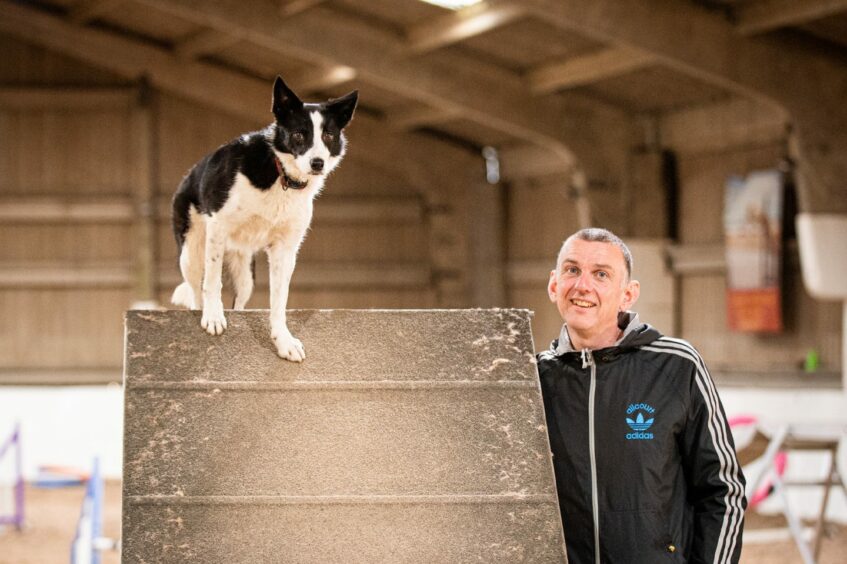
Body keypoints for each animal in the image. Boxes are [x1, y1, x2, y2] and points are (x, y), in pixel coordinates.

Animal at [172, 76, 358, 362]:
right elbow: (213, 281)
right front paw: (213, 317)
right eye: (299, 134)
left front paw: (284, 341)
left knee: (239, 301)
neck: (281, 175)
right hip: (191, 252)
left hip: (246, 275)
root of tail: (188, 176)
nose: (318, 163)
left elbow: (279, 300)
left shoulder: (285, 249)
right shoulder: (218, 227)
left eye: (328, 135)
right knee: (196, 290)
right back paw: (203, 310)